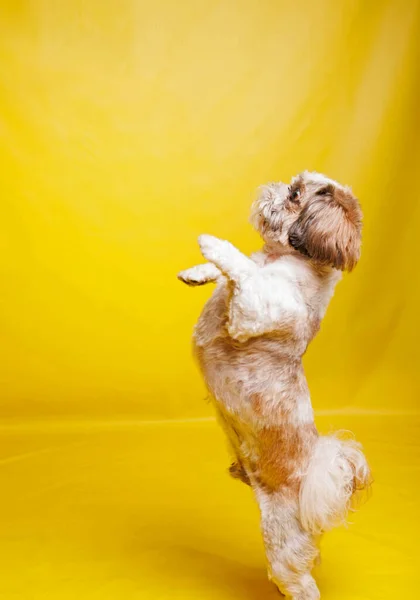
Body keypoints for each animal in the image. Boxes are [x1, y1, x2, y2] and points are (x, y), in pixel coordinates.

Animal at [177, 170, 370, 600]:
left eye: (295, 194)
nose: (275, 187)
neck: (283, 259)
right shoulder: (251, 281)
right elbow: (238, 269)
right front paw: (198, 272)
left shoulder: (255, 308)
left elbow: (243, 269)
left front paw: (212, 245)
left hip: (282, 539)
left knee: (298, 579)